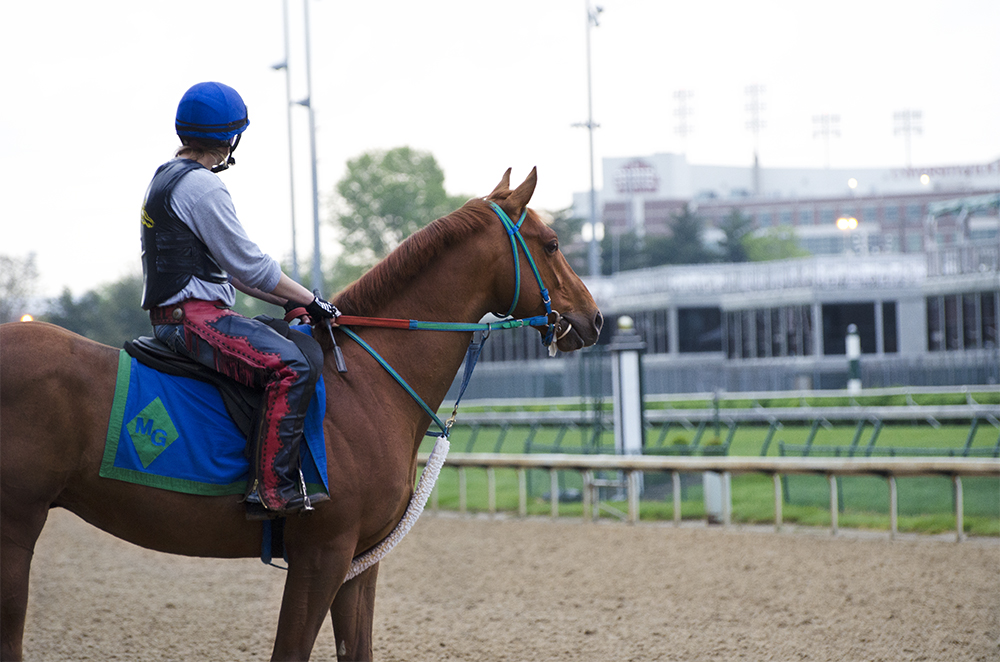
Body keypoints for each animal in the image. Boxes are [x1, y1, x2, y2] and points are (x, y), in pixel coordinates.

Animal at [0, 170, 600, 662]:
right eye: (552, 243)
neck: (366, 382)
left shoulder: (361, 563)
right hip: (16, 528)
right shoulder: (322, 556)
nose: (593, 318)